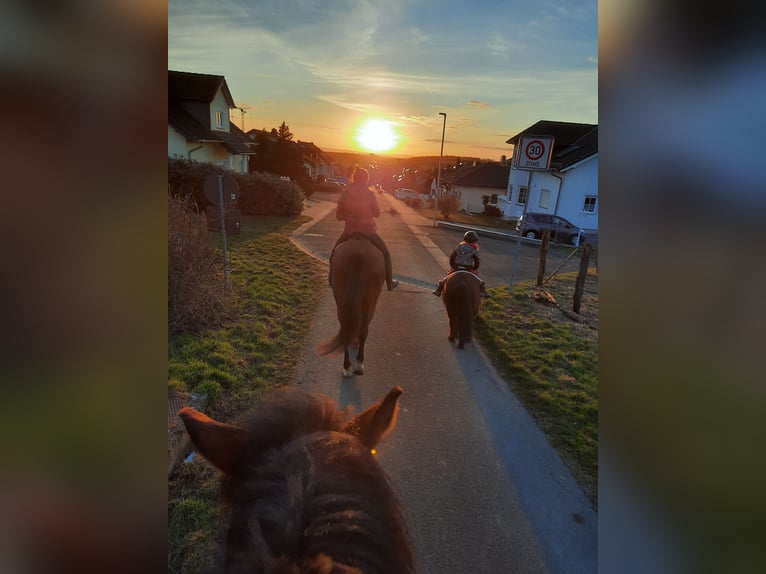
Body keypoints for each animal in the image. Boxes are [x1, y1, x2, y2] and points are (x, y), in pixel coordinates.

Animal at [318, 234, 388, 378]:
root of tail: (357, 255)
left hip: (340, 301)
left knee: (346, 328)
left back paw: (347, 367)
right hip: (370, 303)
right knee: (363, 331)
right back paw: (359, 364)